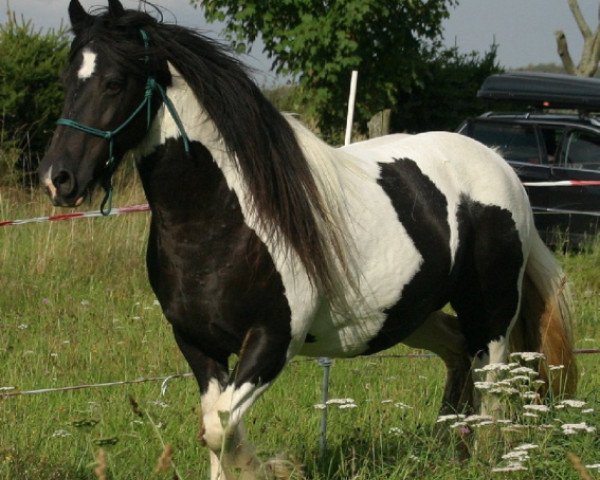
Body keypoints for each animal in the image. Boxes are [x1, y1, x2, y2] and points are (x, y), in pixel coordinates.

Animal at [38, 1, 576, 478]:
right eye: (66, 81)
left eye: (114, 82)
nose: (57, 179)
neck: (220, 221)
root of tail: (501, 164)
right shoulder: (197, 344)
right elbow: (213, 429)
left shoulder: (272, 341)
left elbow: (222, 428)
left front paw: (273, 468)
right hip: (410, 315)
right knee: (458, 353)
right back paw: (451, 450)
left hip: (492, 315)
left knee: (493, 387)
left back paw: (484, 460)